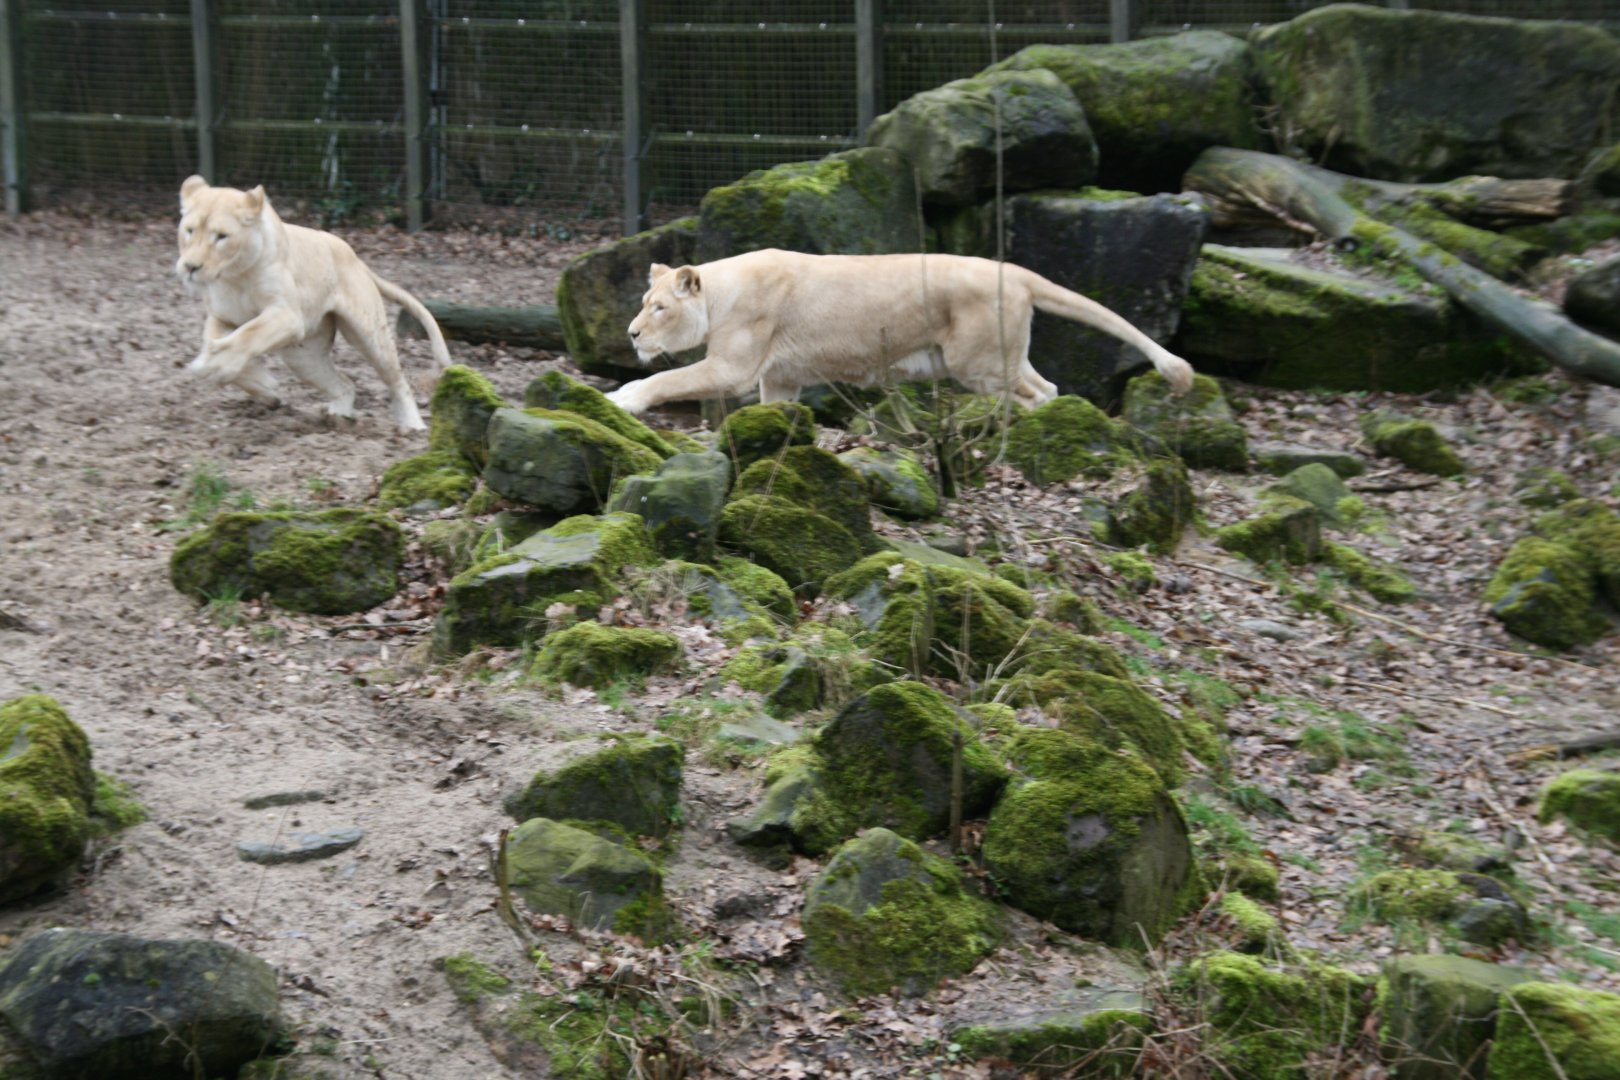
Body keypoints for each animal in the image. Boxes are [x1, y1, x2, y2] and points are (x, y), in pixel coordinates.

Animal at [175, 175, 451, 433]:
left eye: (222, 237)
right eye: (189, 230)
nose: (190, 267)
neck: (234, 276)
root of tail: (357, 259)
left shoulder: (288, 315)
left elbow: (248, 335)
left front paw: (220, 365)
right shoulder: (222, 316)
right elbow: (215, 342)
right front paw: (261, 385)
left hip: (370, 336)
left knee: (398, 381)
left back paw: (412, 426)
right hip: (303, 358)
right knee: (345, 384)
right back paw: (339, 419)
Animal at [605, 250, 1195, 415]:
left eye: (658, 308)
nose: (631, 334)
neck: (721, 292)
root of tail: (1016, 272)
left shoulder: (732, 368)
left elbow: (667, 380)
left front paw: (623, 398)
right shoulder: (781, 378)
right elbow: (775, 412)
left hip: (976, 363)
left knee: (1033, 396)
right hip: (1005, 355)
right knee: (1046, 386)